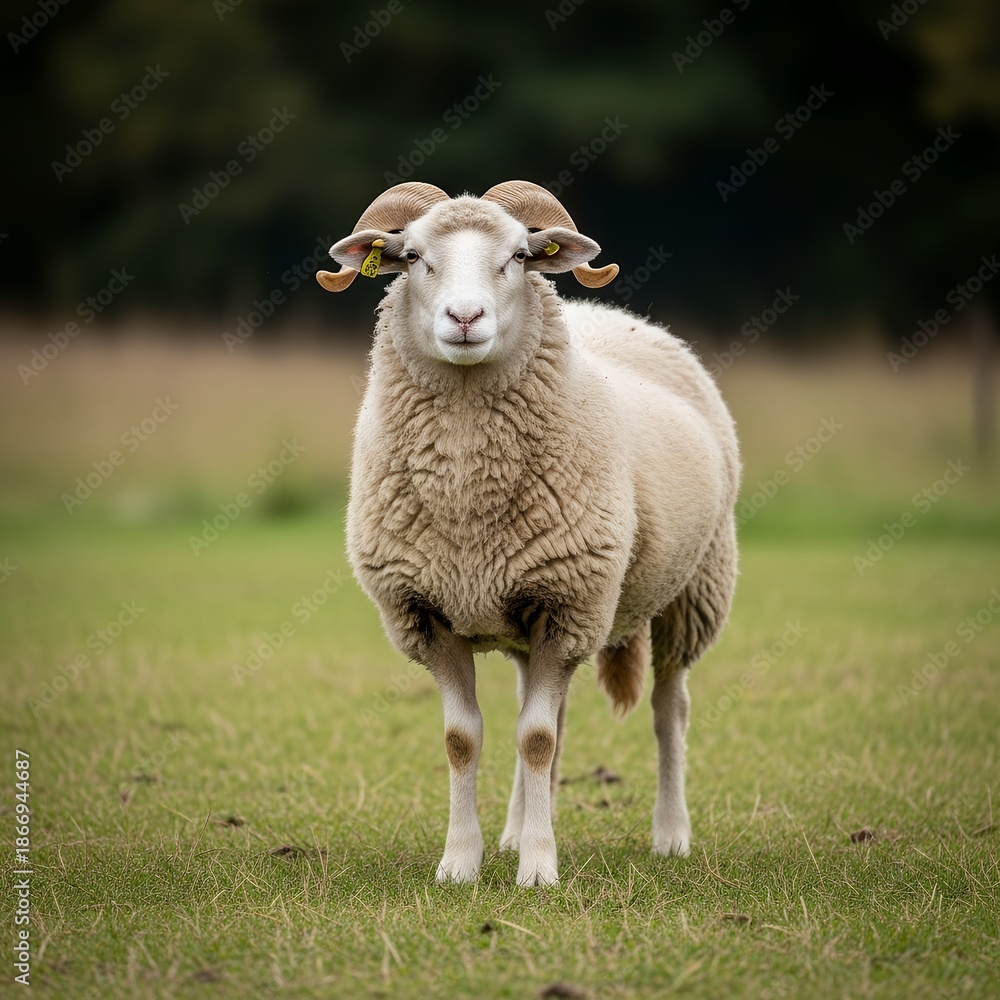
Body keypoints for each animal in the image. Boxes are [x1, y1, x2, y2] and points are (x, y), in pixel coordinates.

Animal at [317, 180, 740, 886]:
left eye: (519, 254)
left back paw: (670, 833)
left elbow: (536, 739)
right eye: (411, 256)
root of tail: (609, 312)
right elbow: (466, 740)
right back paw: (515, 830)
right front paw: (461, 863)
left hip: (692, 591)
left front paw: (539, 870)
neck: (466, 496)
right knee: (551, 715)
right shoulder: (429, 613)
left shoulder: (568, 605)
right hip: (527, 616)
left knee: (668, 709)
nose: (464, 317)